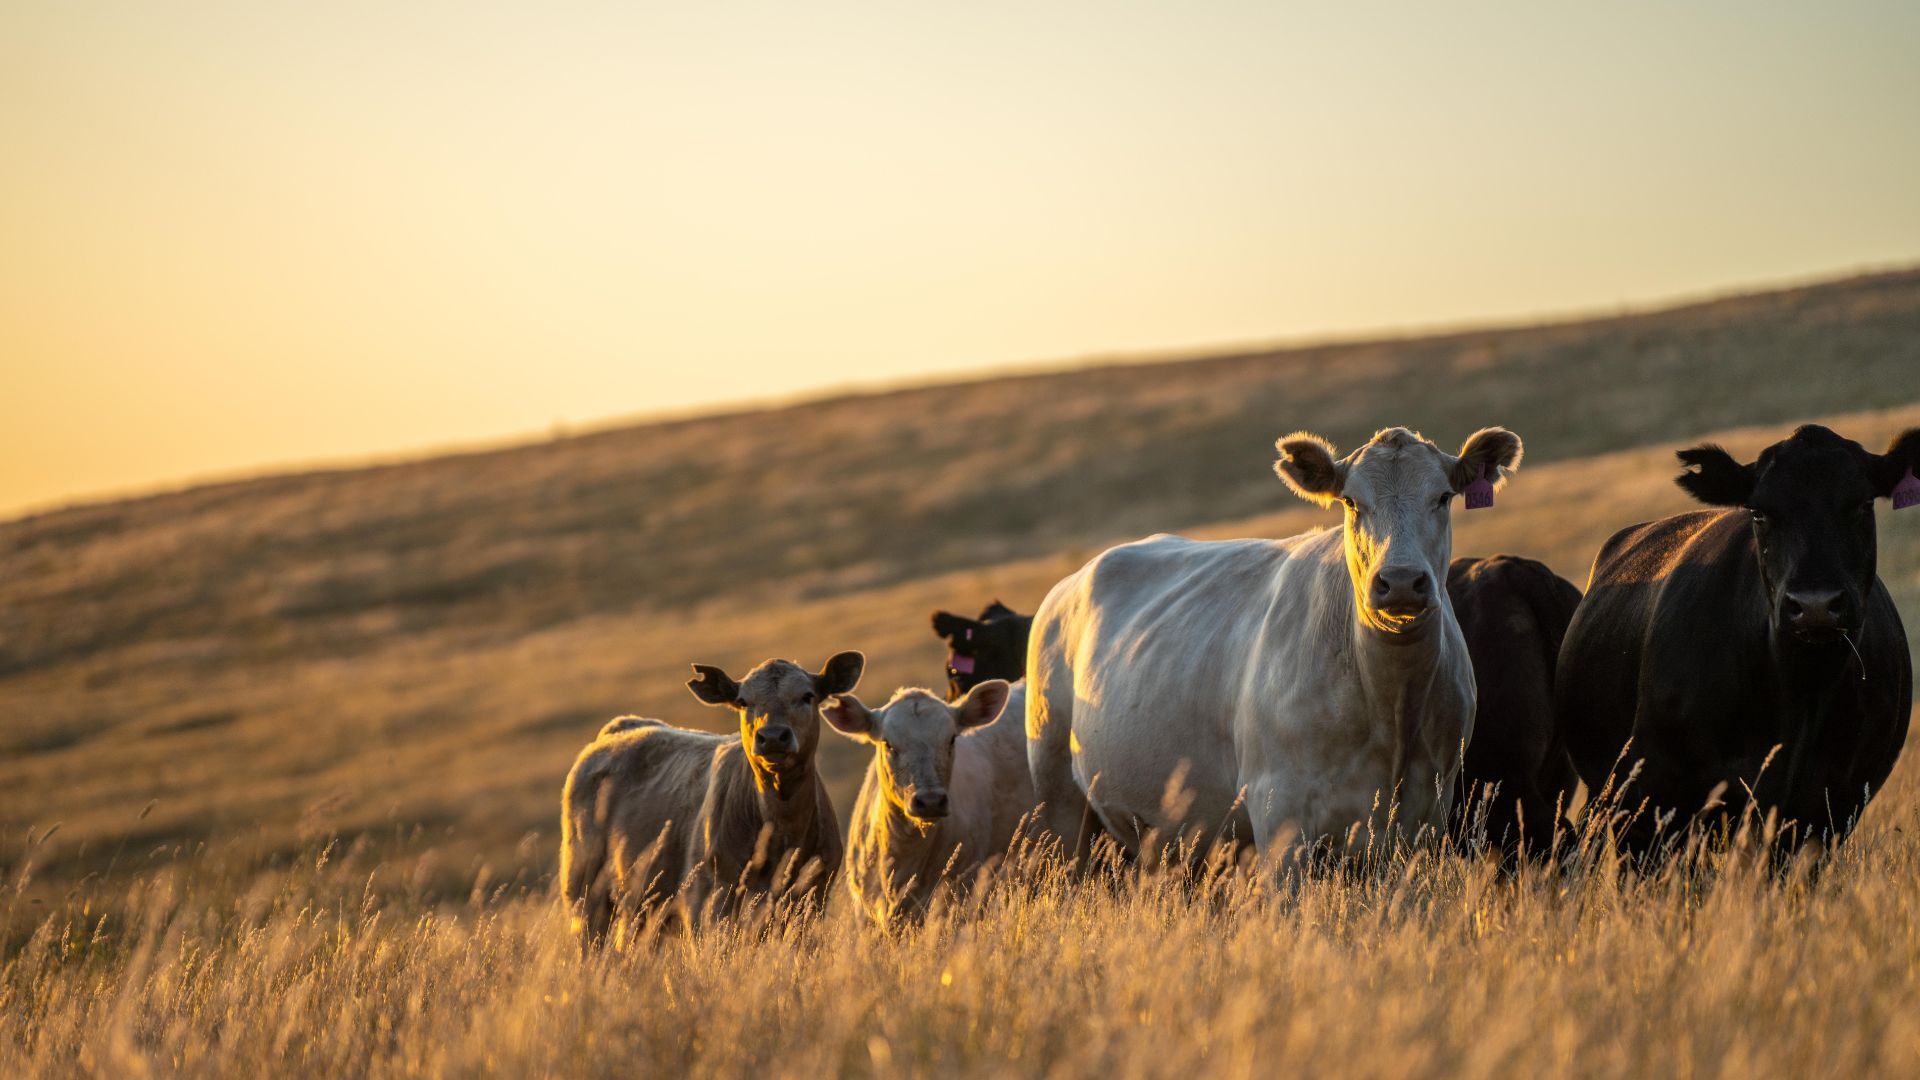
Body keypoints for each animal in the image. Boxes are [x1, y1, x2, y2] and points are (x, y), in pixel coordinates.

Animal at [559, 651, 864, 945]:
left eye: (807, 696)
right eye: (743, 701)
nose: (773, 736)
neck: (782, 827)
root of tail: (622, 726)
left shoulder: (813, 899)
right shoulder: (707, 901)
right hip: (584, 895)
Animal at [1027, 426, 1523, 868]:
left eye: (1443, 497)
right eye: (1350, 501)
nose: (1400, 581)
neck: (1390, 705)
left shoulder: (1424, 816)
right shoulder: (1279, 810)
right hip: (1059, 800)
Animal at [1557, 425, 1917, 861]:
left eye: (1863, 504)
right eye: (1759, 513)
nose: (1814, 605)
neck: (1798, 696)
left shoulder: (1826, 813)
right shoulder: (1653, 794)